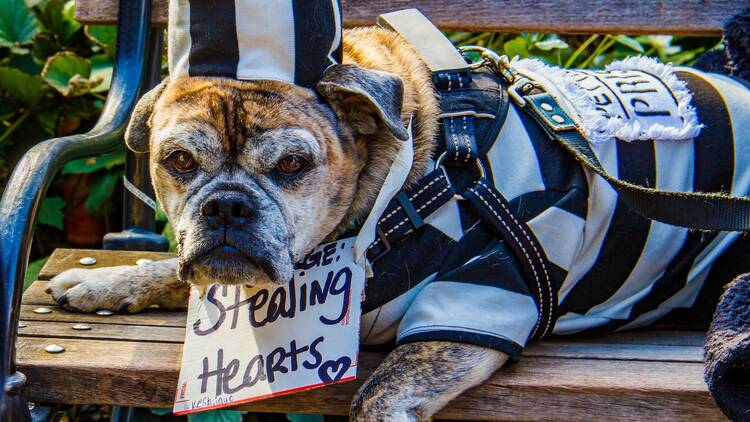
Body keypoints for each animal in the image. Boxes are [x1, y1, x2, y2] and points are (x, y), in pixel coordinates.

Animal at [45, 14, 750, 420]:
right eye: (179, 161)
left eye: (293, 165)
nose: (226, 204)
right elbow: (168, 269)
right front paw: (105, 281)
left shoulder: (483, 297)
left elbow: (379, 393)